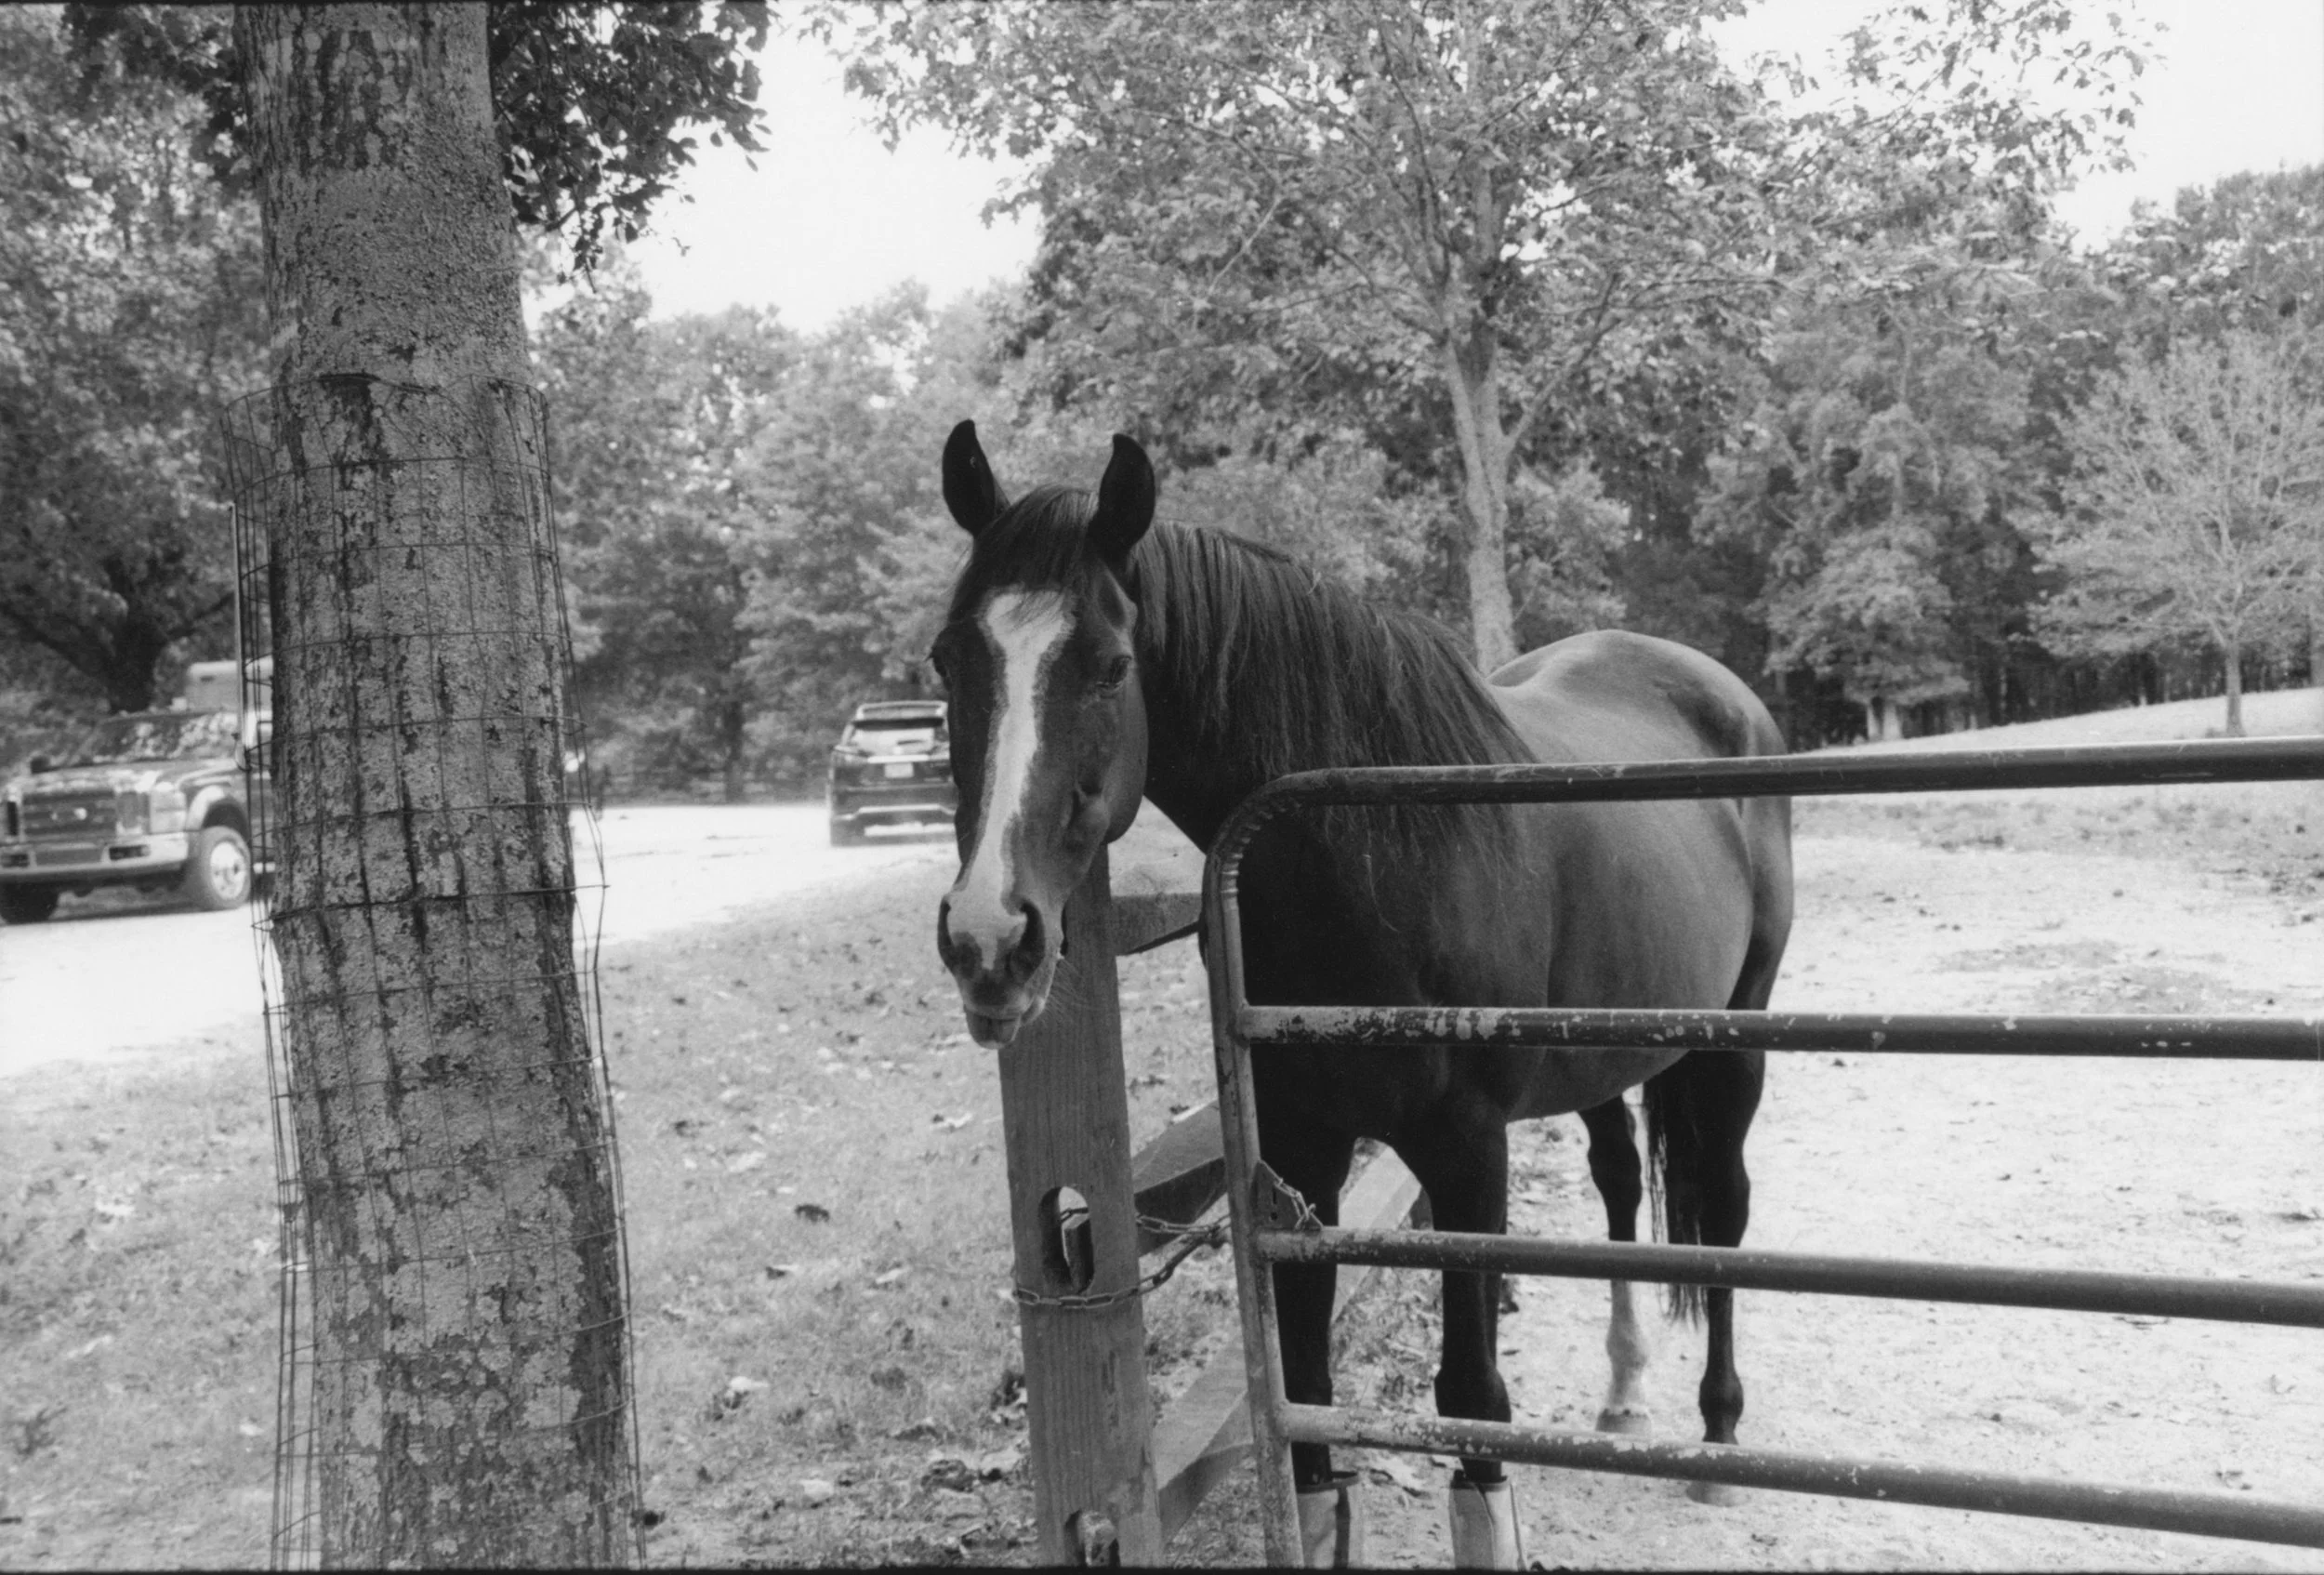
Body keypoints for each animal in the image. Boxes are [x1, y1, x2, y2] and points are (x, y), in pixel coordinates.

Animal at [929, 422, 1793, 1568]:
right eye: (946, 661)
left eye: (1110, 664)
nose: (989, 940)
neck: (1379, 852)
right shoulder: (1301, 1151)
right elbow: (1308, 1393)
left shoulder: (1468, 1147)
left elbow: (1470, 1392)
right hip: (1608, 1053)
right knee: (1617, 1187)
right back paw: (1621, 1396)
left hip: (1736, 1042)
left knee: (1724, 1213)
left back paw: (1719, 1434)